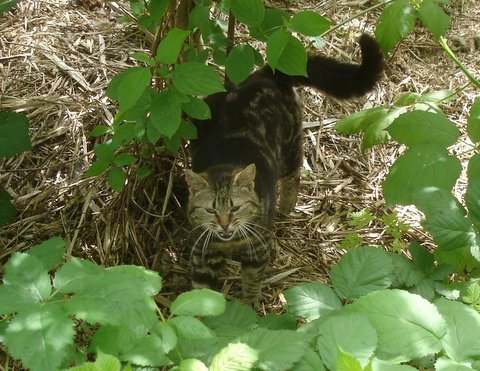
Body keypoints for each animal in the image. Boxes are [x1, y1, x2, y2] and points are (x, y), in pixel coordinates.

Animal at [185, 33, 386, 304]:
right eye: (210, 210)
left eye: (235, 207)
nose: (225, 225)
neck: (229, 242)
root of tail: (265, 73)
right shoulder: (202, 253)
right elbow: (200, 295)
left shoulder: (258, 251)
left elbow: (251, 287)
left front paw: (248, 309)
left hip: (291, 147)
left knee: (294, 176)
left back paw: (286, 207)